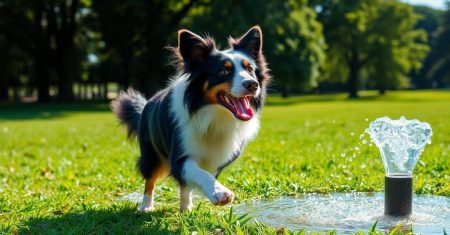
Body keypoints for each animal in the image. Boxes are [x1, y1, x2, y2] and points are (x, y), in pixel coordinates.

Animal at [111, 26, 270, 213]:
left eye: (250, 69)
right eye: (223, 71)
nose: (253, 84)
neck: (212, 114)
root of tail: (145, 104)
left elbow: (195, 178)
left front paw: (192, 203)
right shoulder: (179, 152)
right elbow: (198, 172)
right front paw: (220, 192)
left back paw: (185, 207)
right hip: (151, 153)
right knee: (150, 179)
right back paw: (146, 206)